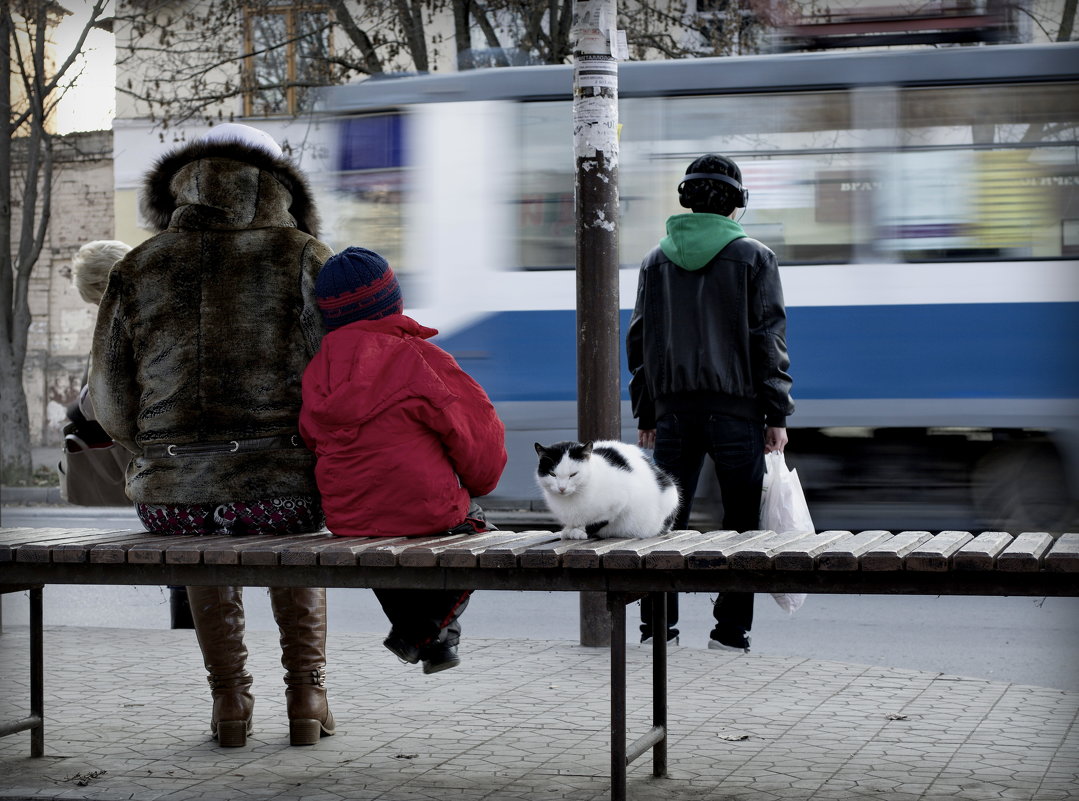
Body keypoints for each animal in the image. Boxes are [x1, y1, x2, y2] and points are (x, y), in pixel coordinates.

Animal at [535, 442, 677, 541]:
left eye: (573, 474)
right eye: (552, 474)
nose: (562, 488)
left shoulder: (620, 501)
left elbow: (600, 521)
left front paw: (581, 531)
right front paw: (569, 529)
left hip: (671, 497)